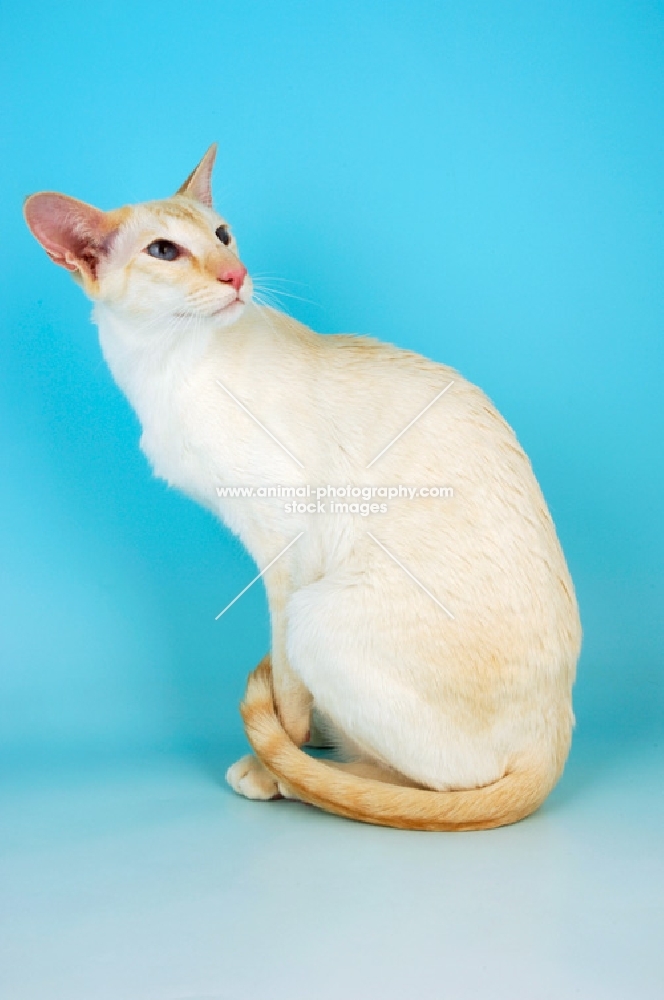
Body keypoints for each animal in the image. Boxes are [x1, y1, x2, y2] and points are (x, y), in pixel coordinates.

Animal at [23, 145, 580, 832]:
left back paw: (302, 776)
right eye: (164, 251)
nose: (235, 275)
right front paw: (296, 741)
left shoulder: (287, 549)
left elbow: (286, 689)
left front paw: (280, 757)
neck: (165, 368)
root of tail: (556, 738)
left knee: (440, 787)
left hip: (319, 616)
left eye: (222, 235)